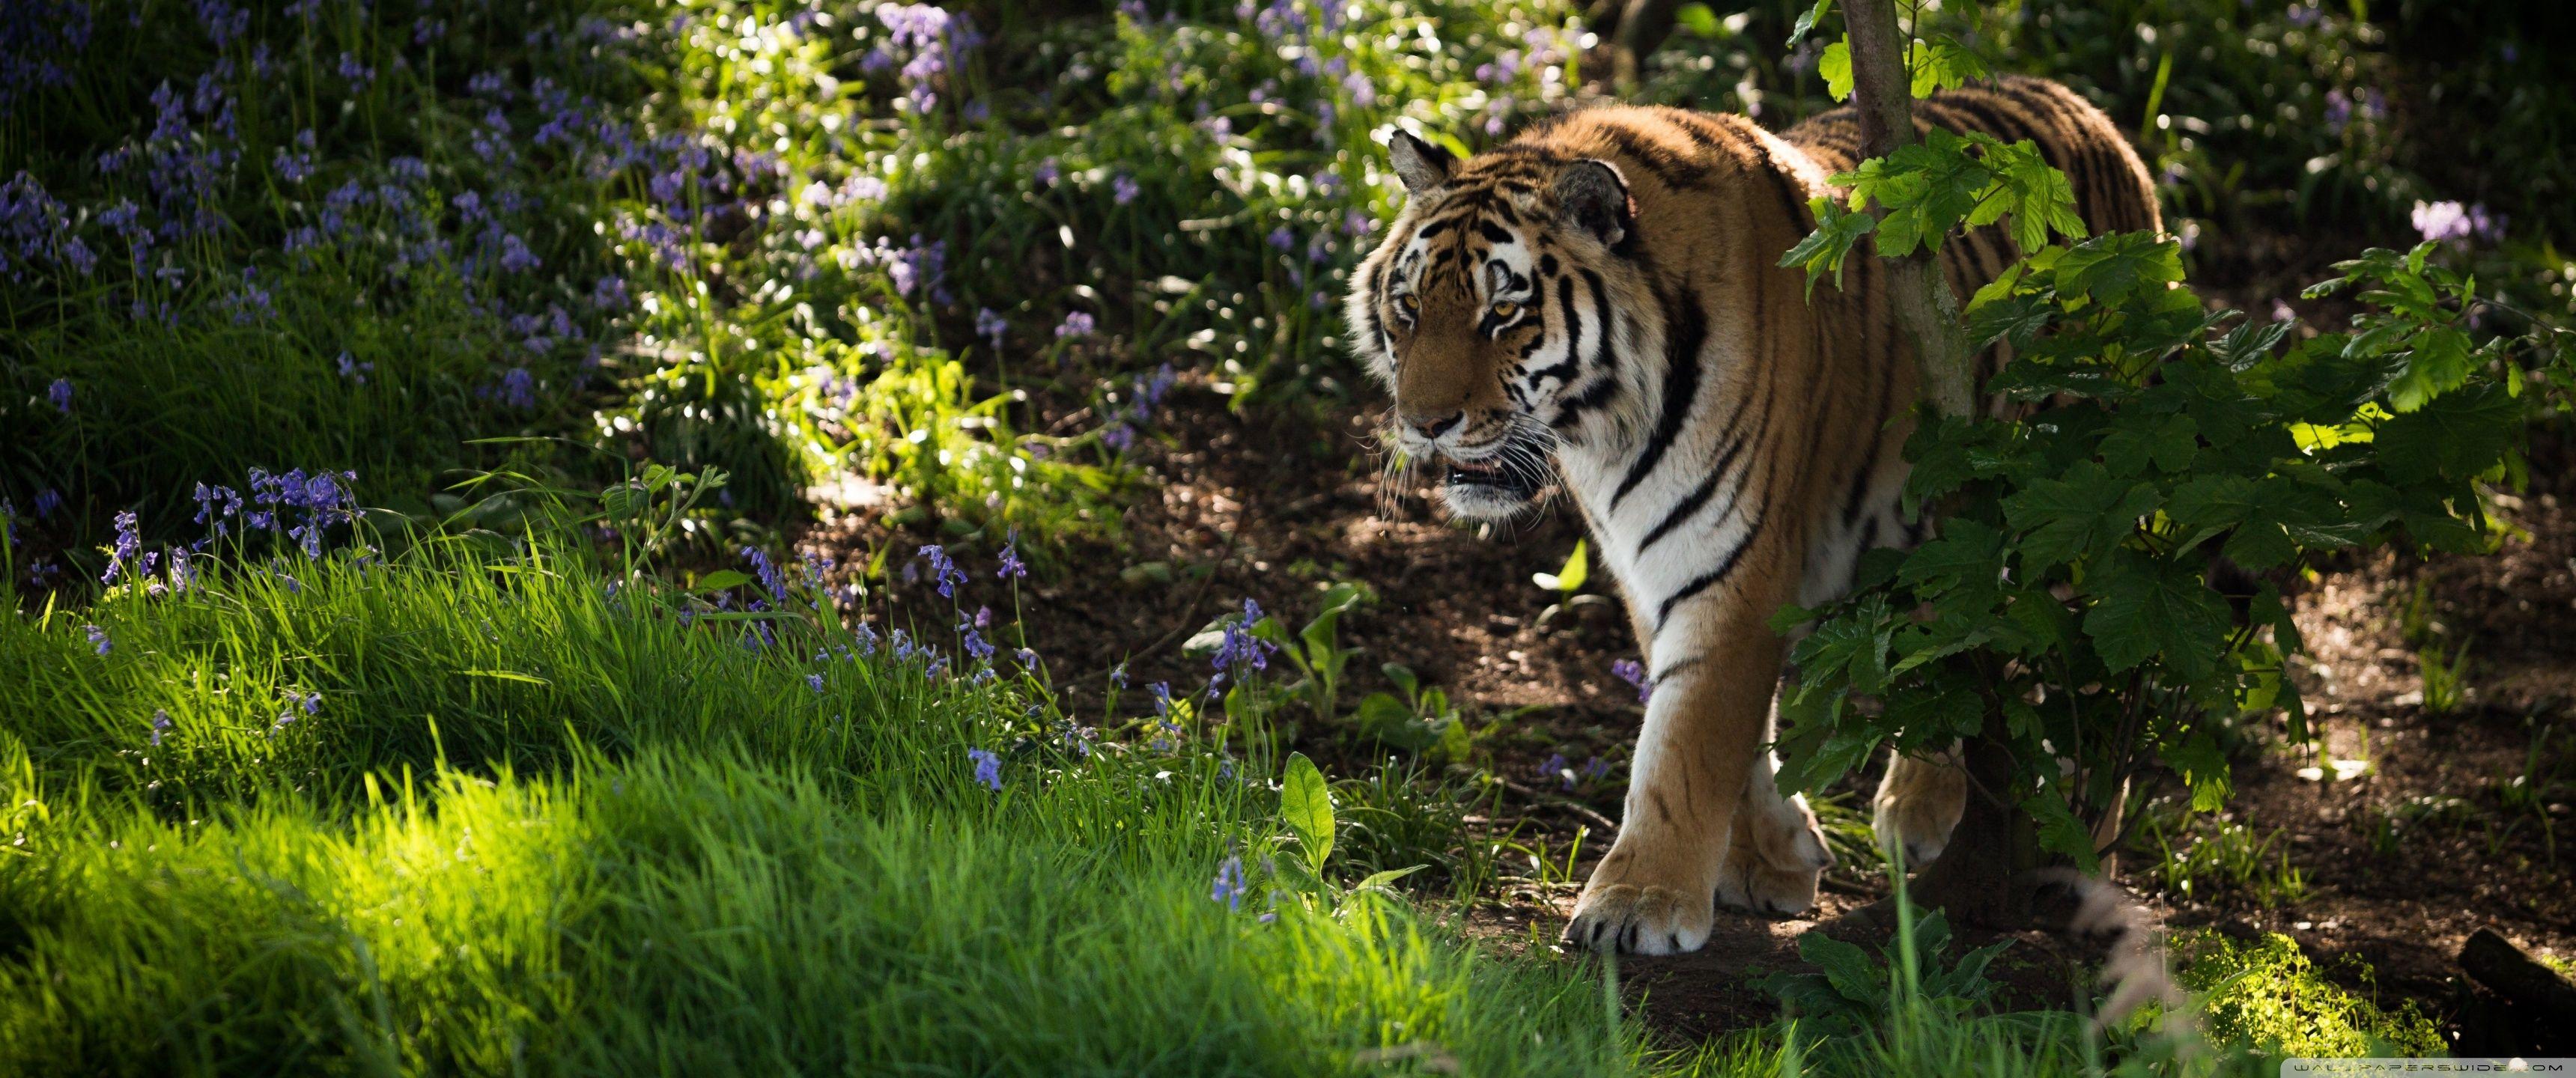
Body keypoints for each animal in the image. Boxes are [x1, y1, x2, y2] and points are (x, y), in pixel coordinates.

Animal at [1343, 74, 2160, 955]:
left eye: (1503, 314)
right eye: (1408, 309)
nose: (1423, 423)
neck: (1602, 429)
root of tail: (2086, 108)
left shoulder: (1730, 555)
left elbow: (1688, 740)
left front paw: (1639, 902)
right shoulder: (1654, 565)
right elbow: (1725, 729)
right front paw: (1769, 860)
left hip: (2080, 514)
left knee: (2096, 695)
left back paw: (2082, 869)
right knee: (1955, 647)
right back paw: (1921, 812)